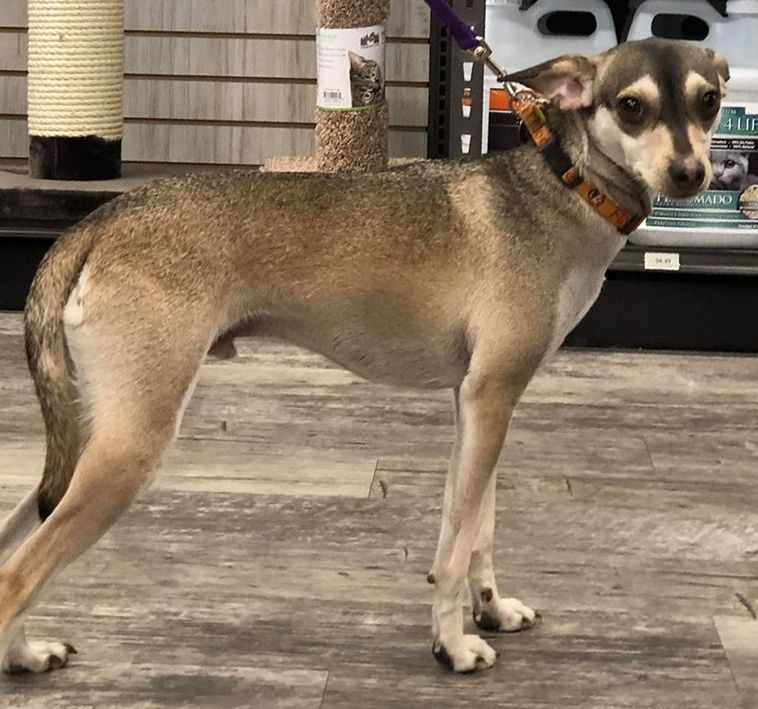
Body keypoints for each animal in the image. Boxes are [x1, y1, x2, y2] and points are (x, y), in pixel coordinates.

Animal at [0, 38, 728, 675]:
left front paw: (489, 609)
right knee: (17, 574)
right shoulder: (491, 397)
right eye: (631, 106)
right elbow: (459, 545)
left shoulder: (481, 404)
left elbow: (476, 528)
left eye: (711, 100)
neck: (565, 184)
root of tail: (101, 219)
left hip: (90, 433)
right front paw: (452, 645)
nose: (692, 173)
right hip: (131, 442)